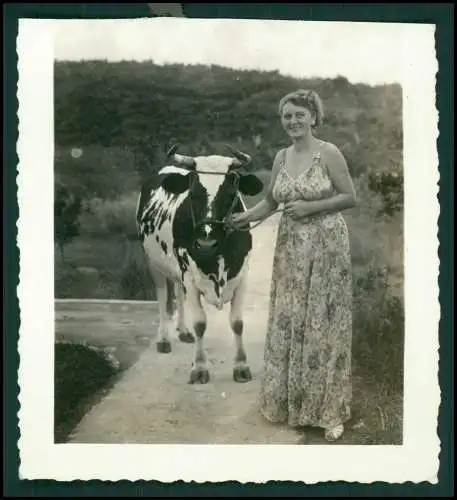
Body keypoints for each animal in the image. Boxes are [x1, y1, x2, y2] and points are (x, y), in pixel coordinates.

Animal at [135, 145, 264, 382]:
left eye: (231, 194)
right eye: (192, 194)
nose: (206, 243)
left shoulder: (242, 276)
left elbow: (237, 323)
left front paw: (241, 366)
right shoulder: (190, 276)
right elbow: (200, 323)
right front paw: (200, 367)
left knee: (177, 292)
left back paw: (183, 331)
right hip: (153, 261)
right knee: (162, 297)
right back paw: (164, 338)